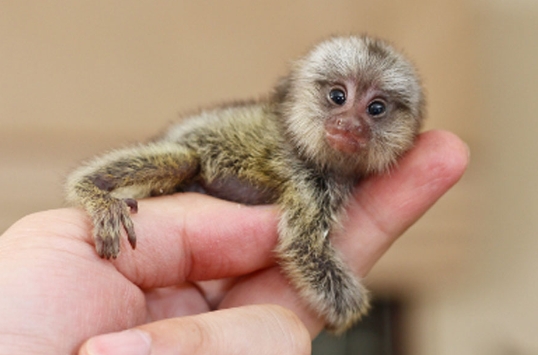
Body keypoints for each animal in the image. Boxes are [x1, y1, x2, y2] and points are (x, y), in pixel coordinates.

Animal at [65, 36, 422, 334]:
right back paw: (93, 192)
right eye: (338, 96)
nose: (349, 125)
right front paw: (348, 312)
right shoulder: (307, 180)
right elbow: (304, 246)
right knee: (185, 159)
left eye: (376, 108)